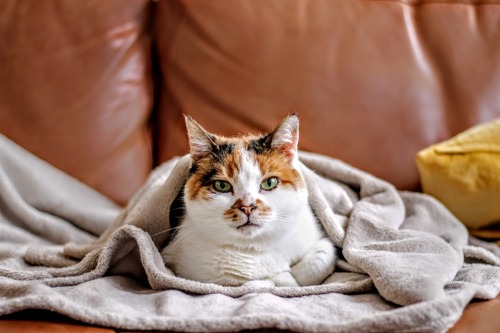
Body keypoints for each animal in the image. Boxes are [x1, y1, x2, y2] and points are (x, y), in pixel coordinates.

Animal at [162, 114, 336, 286]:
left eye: (269, 183)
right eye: (221, 185)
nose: (247, 207)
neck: (255, 248)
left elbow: (325, 254)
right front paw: (283, 277)